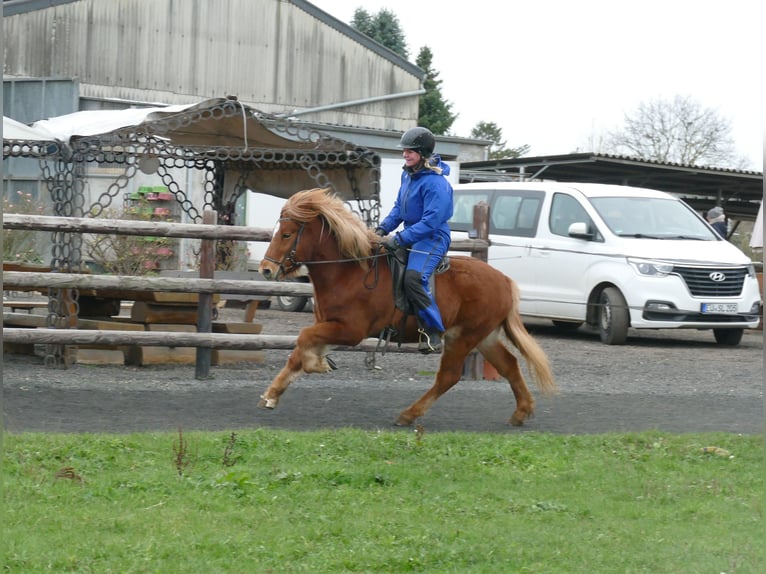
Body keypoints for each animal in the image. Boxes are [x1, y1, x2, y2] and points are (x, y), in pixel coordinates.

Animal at [258, 188, 557, 427]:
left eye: (287, 234)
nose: (266, 269)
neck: (348, 272)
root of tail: (505, 281)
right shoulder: (327, 325)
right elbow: (298, 351)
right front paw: (272, 395)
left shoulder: (350, 331)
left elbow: (303, 340)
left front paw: (316, 365)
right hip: (484, 337)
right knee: (510, 366)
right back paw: (521, 412)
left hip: (464, 337)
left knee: (449, 376)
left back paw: (409, 415)